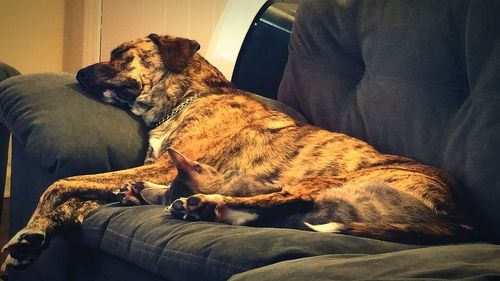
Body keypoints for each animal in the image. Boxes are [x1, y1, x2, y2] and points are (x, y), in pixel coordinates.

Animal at [1, 34, 472, 268]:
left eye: (123, 56)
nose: (79, 73)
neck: (192, 97)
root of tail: (455, 216)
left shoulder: (160, 166)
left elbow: (62, 184)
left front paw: (30, 229)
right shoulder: (148, 170)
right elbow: (82, 198)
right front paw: (37, 235)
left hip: (332, 177)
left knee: (284, 199)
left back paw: (207, 205)